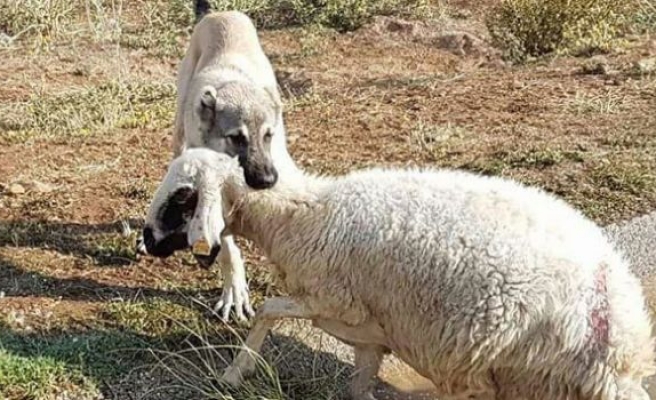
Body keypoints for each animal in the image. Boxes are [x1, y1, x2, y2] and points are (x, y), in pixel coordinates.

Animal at [138, 1, 302, 322]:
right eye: (236, 137)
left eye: (268, 135)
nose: (267, 180)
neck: (236, 85)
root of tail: (217, 14)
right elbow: (226, 245)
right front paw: (234, 290)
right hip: (179, 134)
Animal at [141, 148, 652, 400]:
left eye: (183, 196)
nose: (145, 239)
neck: (302, 216)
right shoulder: (369, 330)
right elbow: (359, 386)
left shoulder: (333, 300)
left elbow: (268, 309)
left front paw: (234, 372)